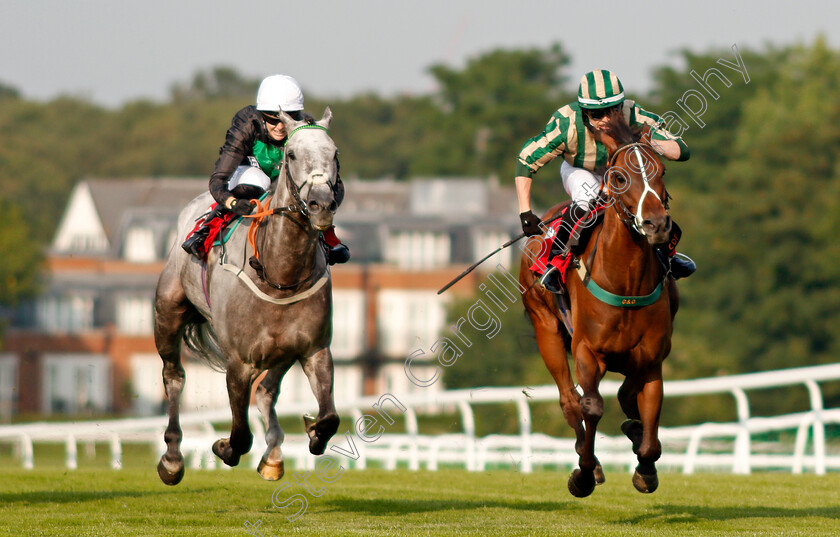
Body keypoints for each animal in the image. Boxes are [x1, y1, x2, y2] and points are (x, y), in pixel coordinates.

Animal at [154, 107, 342, 484]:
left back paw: (273, 456)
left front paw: (313, 432)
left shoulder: (315, 350)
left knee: (268, 391)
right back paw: (172, 459)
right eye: (292, 154)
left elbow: (330, 418)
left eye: (334, 154)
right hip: (167, 312)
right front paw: (221, 447)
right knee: (174, 377)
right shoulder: (239, 362)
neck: (280, 275)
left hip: (283, 351)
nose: (321, 204)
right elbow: (240, 434)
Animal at [520, 120, 680, 494]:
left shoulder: (651, 359)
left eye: (662, 170)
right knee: (569, 400)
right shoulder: (587, 351)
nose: (656, 225)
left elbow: (646, 417)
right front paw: (584, 472)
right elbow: (590, 405)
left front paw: (645, 466)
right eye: (619, 177)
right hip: (545, 328)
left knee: (620, 395)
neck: (627, 283)